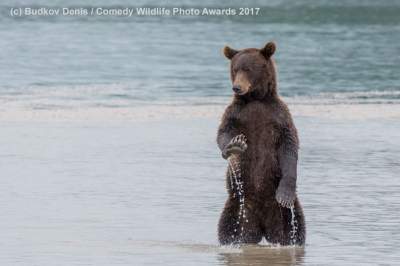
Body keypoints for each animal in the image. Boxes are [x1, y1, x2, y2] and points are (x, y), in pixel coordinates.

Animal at [217, 41, 304, 245]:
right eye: (235, 69)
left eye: (248, 69)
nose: (236, 87)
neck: (255, 98)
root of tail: (263, 228)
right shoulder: (235, 113)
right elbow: (223, 133)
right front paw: (235, 145)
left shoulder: (279, 116)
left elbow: (290, 147)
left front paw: (285, 195)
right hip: (238, 210)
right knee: (228, 230)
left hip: (285, 216)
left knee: (295, 231)